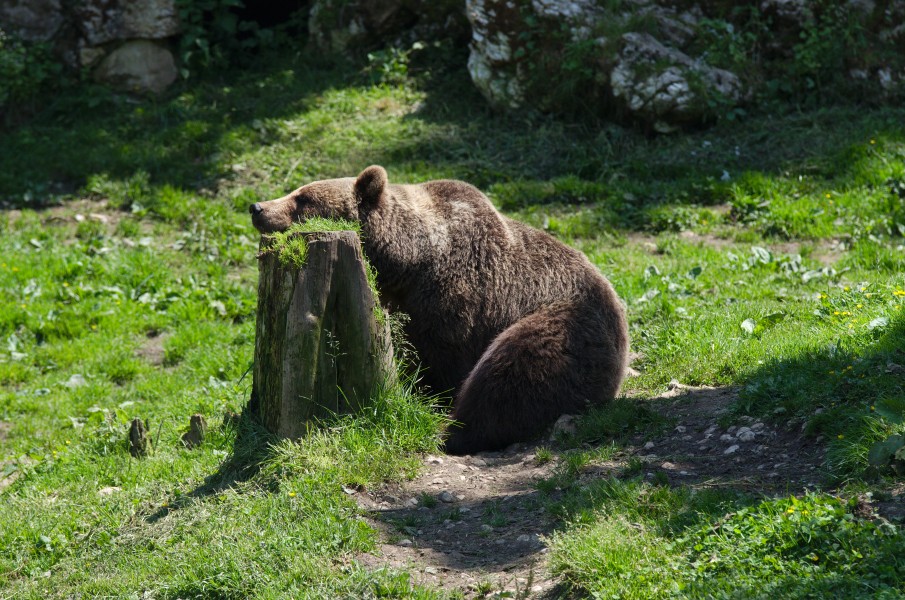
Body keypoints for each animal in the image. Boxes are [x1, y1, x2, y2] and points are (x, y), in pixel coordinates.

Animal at [250, 165, 629, 454]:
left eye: (303, 198)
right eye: (296, 191)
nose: (257, 207)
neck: (408, 262)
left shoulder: (456, 299)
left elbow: (441, 359)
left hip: (566, 327)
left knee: (511, 372)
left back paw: (456, 432)